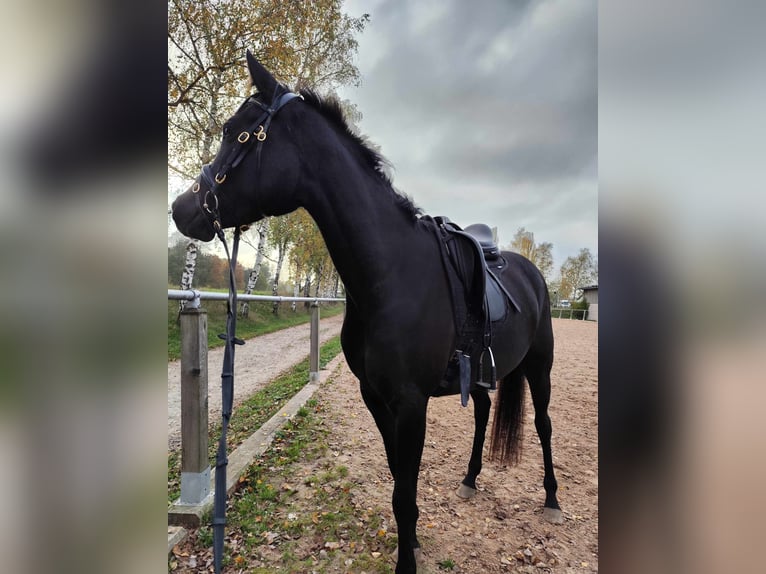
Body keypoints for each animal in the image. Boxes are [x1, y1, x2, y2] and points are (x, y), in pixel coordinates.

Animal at [174, 54, 564, 574]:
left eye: (236, 133)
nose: (181, 209)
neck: (389, 274)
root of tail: (533, 273)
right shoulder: (375, 398)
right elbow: (399, 481)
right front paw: (412, 540)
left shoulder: (411, 403)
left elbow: (403, 491)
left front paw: (407, 558)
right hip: (482, 371)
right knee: (483, 413)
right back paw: (470, 478)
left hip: (540, 366)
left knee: (543, 425)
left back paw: (552, 500)